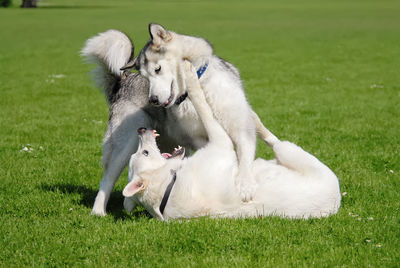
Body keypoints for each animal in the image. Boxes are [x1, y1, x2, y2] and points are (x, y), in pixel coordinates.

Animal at [122, 61, 340, 221]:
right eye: (145, 152)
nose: (140, 130)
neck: (167, 186)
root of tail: (336, 202)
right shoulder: (221, 144)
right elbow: (203, 106)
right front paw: (191, 76)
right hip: (291, 152)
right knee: (275, 141)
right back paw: (255, 121)